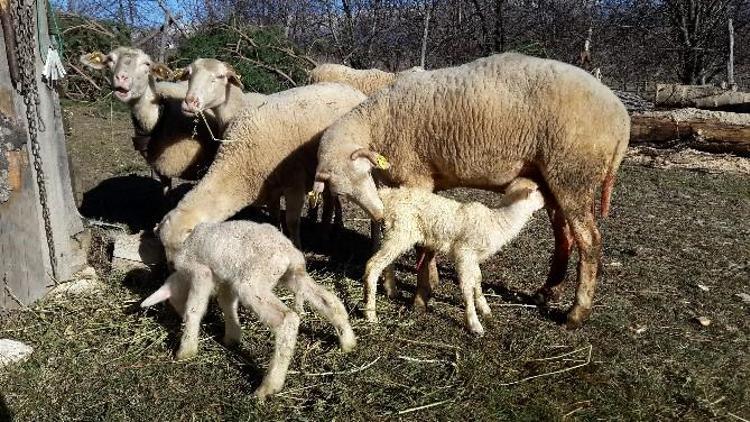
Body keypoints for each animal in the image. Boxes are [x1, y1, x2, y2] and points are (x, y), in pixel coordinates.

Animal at [141, 219, 358, 400]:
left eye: (175, 304)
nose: (177, 316)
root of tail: (288, 252)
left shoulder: (200, 272)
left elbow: (195, 308)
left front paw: (185, 349)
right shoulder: (227, 279)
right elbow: (227, 303)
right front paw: (232, 336)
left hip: (253, 282)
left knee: (287, 319)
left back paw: (269, 386)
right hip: (292, 275)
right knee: (329, 301)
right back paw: (347, 341)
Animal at [160, 80, 368, 258]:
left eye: (181, 248)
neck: (238, 163)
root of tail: (354, 90)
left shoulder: (294, 183)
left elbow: (292, 221)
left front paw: (298, 249)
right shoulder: (271, 188)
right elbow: (274, 216)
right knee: (331, 199)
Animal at [364, 178, 548, 336]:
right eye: (537, 189)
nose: (546, 201)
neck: (497, 222)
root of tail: (387, 195)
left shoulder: (473, 256)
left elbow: (477, 280)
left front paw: (485, 309)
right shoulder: (464, 252)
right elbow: (467, 287)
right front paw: (474, 325)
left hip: (393, 233)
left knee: (385, 263)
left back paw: (391, 291)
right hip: (401, 231)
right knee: (373, 265)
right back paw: (370, 314)